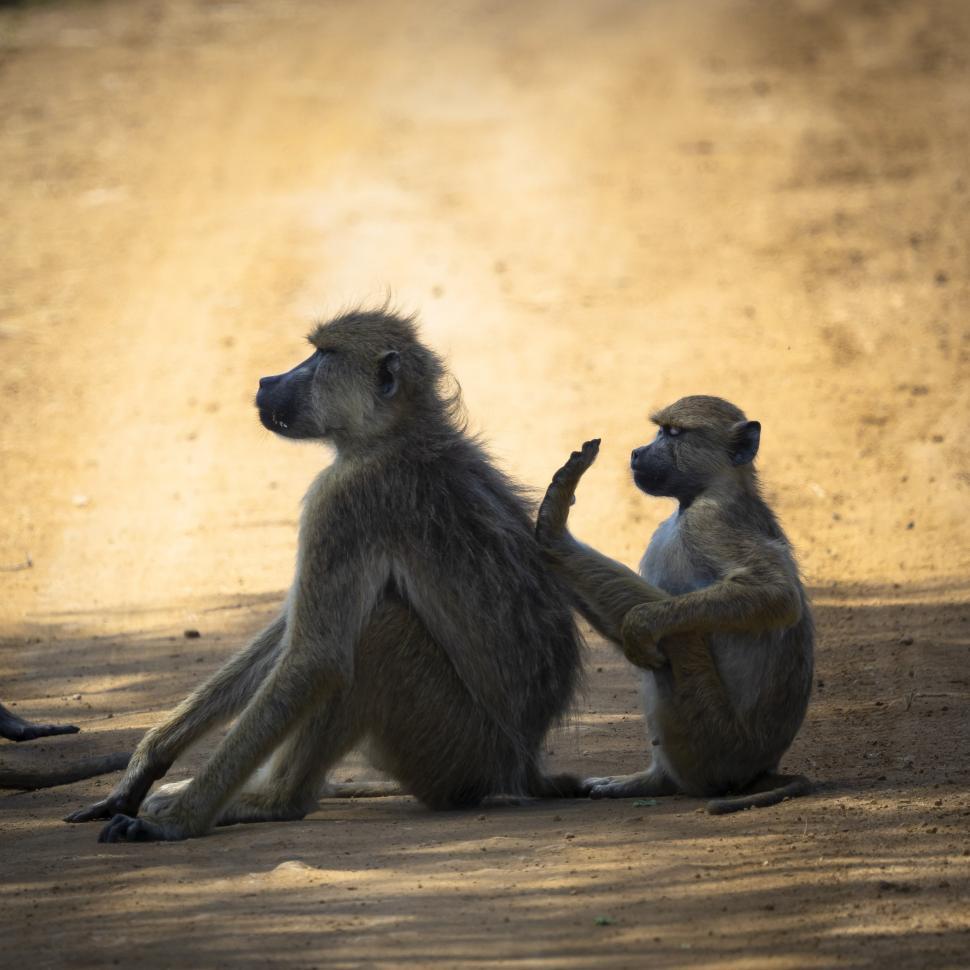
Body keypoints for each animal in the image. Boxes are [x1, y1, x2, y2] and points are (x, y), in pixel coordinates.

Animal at [65, 309, 583, 842]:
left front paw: (179, 822)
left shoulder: (341, 501)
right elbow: (290, 638)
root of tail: (521, 767)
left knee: (376, 633)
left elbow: (316, 658)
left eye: (323, 355)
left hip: (459, 750)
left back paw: (273, 802)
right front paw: (146, 765)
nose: (266, 381)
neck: (391, 436)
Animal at [535, 396, 813, 814]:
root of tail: (761, 768)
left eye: (674, 432)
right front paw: (552, 529)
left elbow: (776, 594)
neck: (701, 494)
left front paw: (640, 624)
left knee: (679, 640)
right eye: (658, 431)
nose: (637, 452)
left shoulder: (709, 522)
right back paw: (651, 782)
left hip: (715, 743)